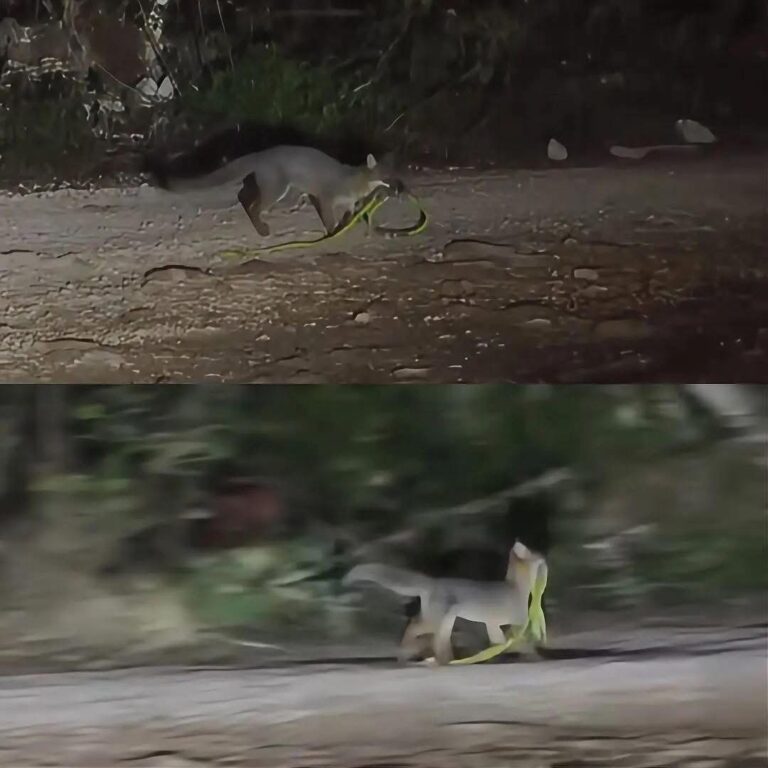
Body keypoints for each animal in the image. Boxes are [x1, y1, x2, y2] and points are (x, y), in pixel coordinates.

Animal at [150, 145, 399, 237]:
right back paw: (262, 229)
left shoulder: (349, 203)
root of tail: (262, 154)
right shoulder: (326, 196)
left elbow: (355, 216)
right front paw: (332, 233)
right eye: (388, 178)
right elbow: (330, 220)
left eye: (400, 174)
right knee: (251, 204)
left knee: (245, 197)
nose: (400, 188)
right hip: (277, 189)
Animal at [343, 540, 548, 665]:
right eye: (537, 553)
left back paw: (445, 660)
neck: (516, 588)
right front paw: (535, 657)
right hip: (434, 621)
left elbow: (499, 643)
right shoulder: (516, 622)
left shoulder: (492, 624)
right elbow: (523, 643)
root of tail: (433, 582)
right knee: (414, 626)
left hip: (446, 622)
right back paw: (407, 653)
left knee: (438, 642)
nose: (545, 557)